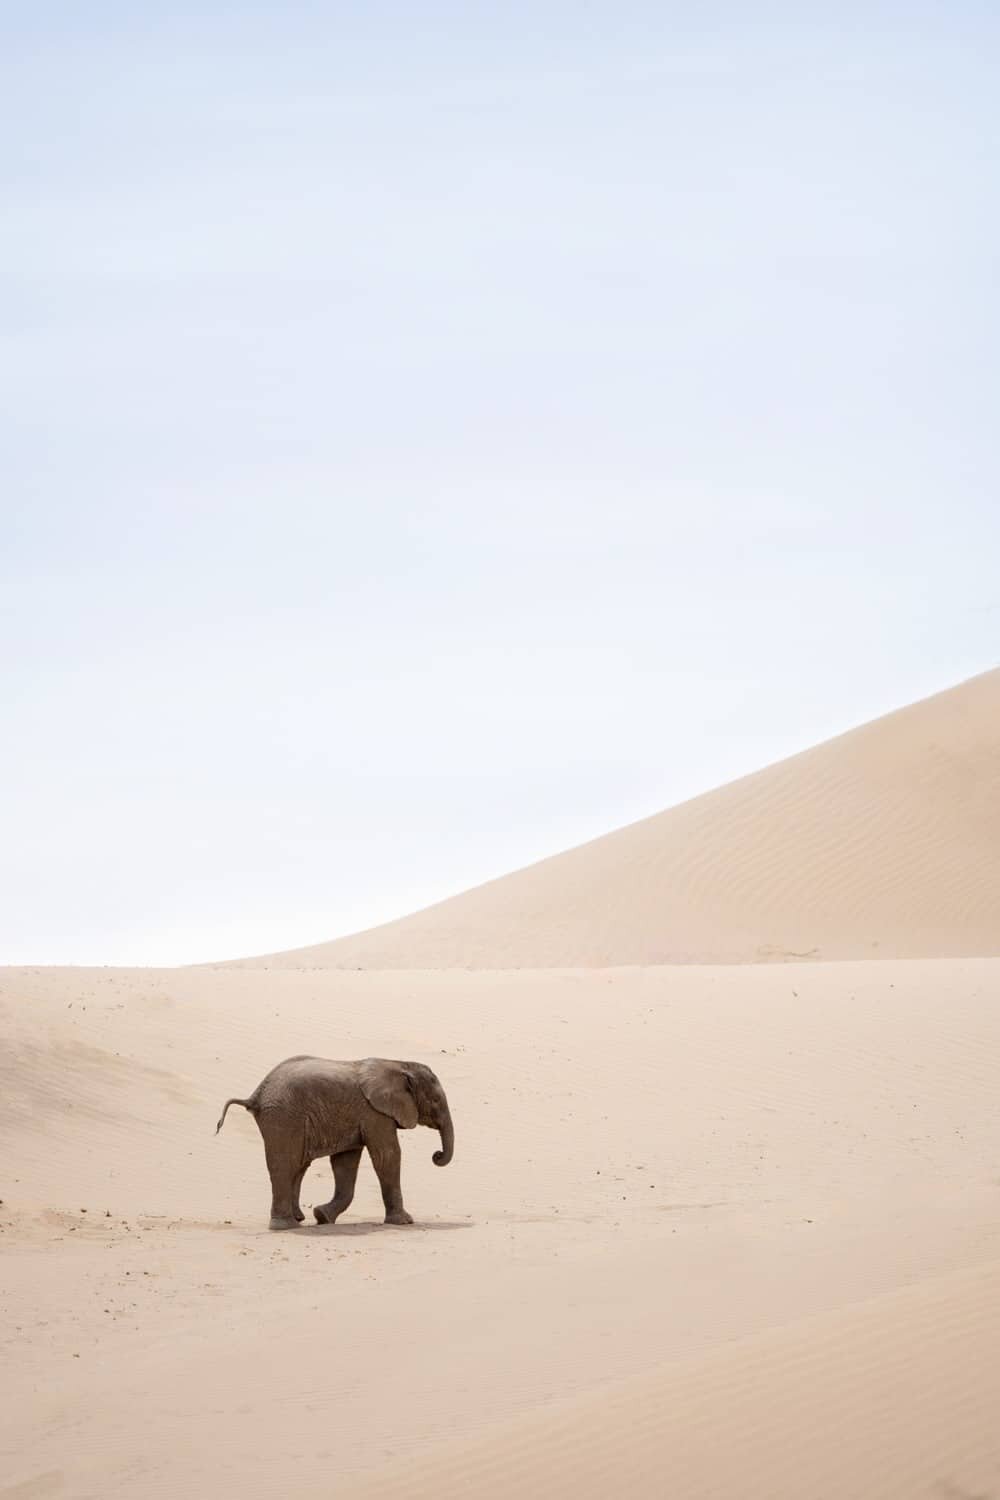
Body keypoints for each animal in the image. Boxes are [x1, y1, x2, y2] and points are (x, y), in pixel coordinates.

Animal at [218, 1056, 458, 1230]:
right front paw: (405, 1222)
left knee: (298, 1166)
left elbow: (345, 1162)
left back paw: (299, 1219)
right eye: (436, 1101)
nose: (436, 1155)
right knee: (285, 1165)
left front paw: (322, 1216)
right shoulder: (375, 1112)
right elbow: (387, 1156)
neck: (400, 1064)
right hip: (283, 1116)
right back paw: (285, 1226)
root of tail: (256, 1095)